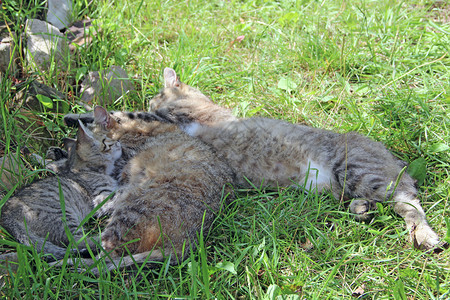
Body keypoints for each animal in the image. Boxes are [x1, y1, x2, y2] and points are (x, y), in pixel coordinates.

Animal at [0, 120, 121, 262]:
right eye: (106, 140)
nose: (119, 142)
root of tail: (6, 215)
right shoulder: (102, 197)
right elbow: (121, 193)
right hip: (62, 216)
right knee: (78, 241)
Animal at [145, 67, 442, 251]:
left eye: (156, 96)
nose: (149, 102)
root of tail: (394, 158)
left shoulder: (189, 116)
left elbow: (169, 116)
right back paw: (362, 208)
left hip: (360, 171)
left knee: (408, 202)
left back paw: (423, 235)